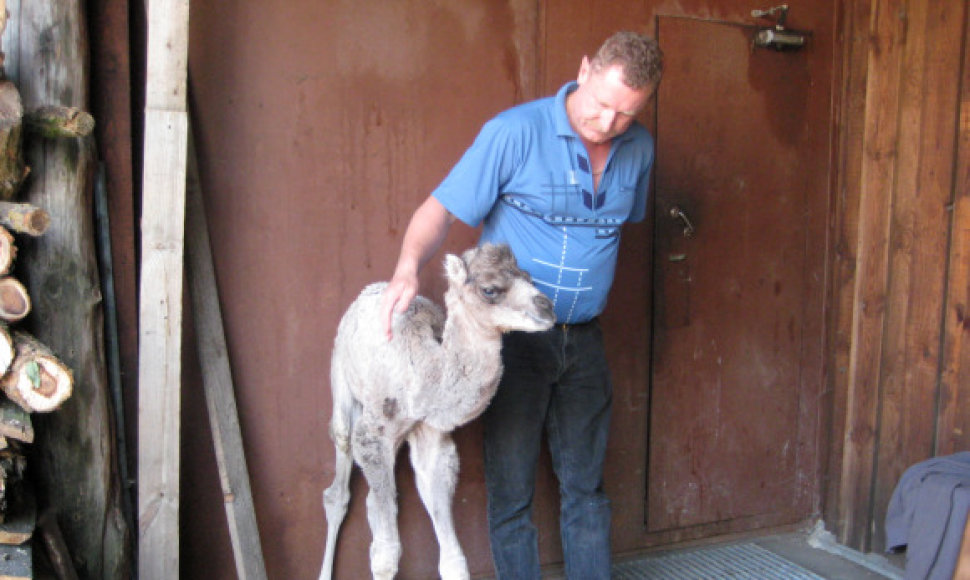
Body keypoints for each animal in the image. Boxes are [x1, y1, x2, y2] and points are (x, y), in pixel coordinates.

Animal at [318, 245, 552, 580]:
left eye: (529, 278)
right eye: (490, 289)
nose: (547, 307)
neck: (422, 373)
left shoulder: (430, 436)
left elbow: (452, 558)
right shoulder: (372, 433)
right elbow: (386, 555)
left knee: (375, 502)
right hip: (340, 371)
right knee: (339, 471)